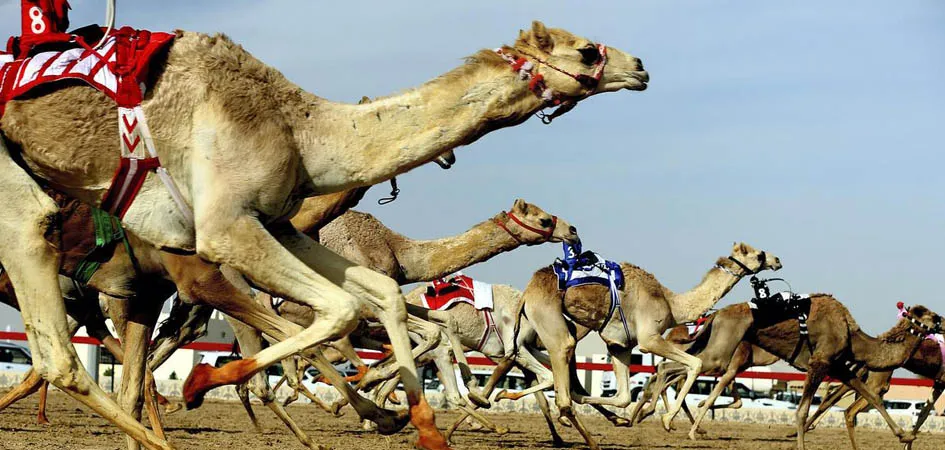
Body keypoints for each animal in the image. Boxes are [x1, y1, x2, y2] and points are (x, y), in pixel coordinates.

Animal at [0, 19, 648, 449]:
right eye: (588, 49)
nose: (640, 68)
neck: (299, 129)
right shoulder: (224, 230)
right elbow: (336, 314)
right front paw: (205, 381)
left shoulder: (277, 224)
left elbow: (378, 300)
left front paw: (420, 425)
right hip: (25, 206)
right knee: (59, 356)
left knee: (100, 364)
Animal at [509, 242, 781, 449]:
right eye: (759, 254)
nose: (777, 259)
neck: (672, 303)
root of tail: (528, 291)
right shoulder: (649, 339)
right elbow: (694, 363)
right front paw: (667, 420)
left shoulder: (620, 345)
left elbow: (623, 397)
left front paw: (624, 418)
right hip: (550, 318)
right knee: (562, 363)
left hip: (542, 327)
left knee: (531, 356)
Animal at [692, 296, 943, 450]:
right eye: (933, 316)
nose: (942, 322)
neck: (854, 338)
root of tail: (716, 314)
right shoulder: (819, 363)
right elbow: (802, 411)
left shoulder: (838, 367)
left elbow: (872, 397)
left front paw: (906, 436)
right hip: (724, 345)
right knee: (692, 366)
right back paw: (690, 429)